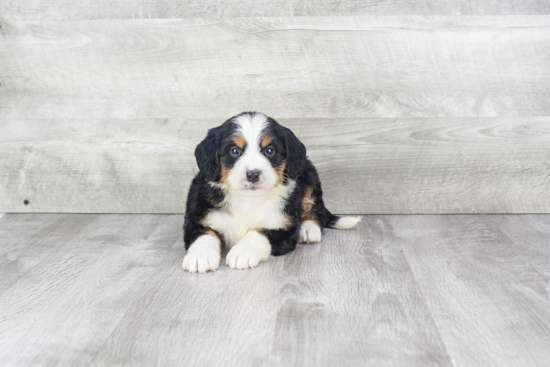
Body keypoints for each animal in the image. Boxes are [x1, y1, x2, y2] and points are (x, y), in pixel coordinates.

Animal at [183, 112, 360, 274]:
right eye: (235, 151)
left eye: (269, 151)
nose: (253, 174)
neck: (248, 200)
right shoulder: (198, 216)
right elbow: (205, 234)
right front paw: (200, 256)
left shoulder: (284, 227)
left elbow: (260, 232)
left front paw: (242, 253)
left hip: (309, 176)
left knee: (317, 210)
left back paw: (309, 229)